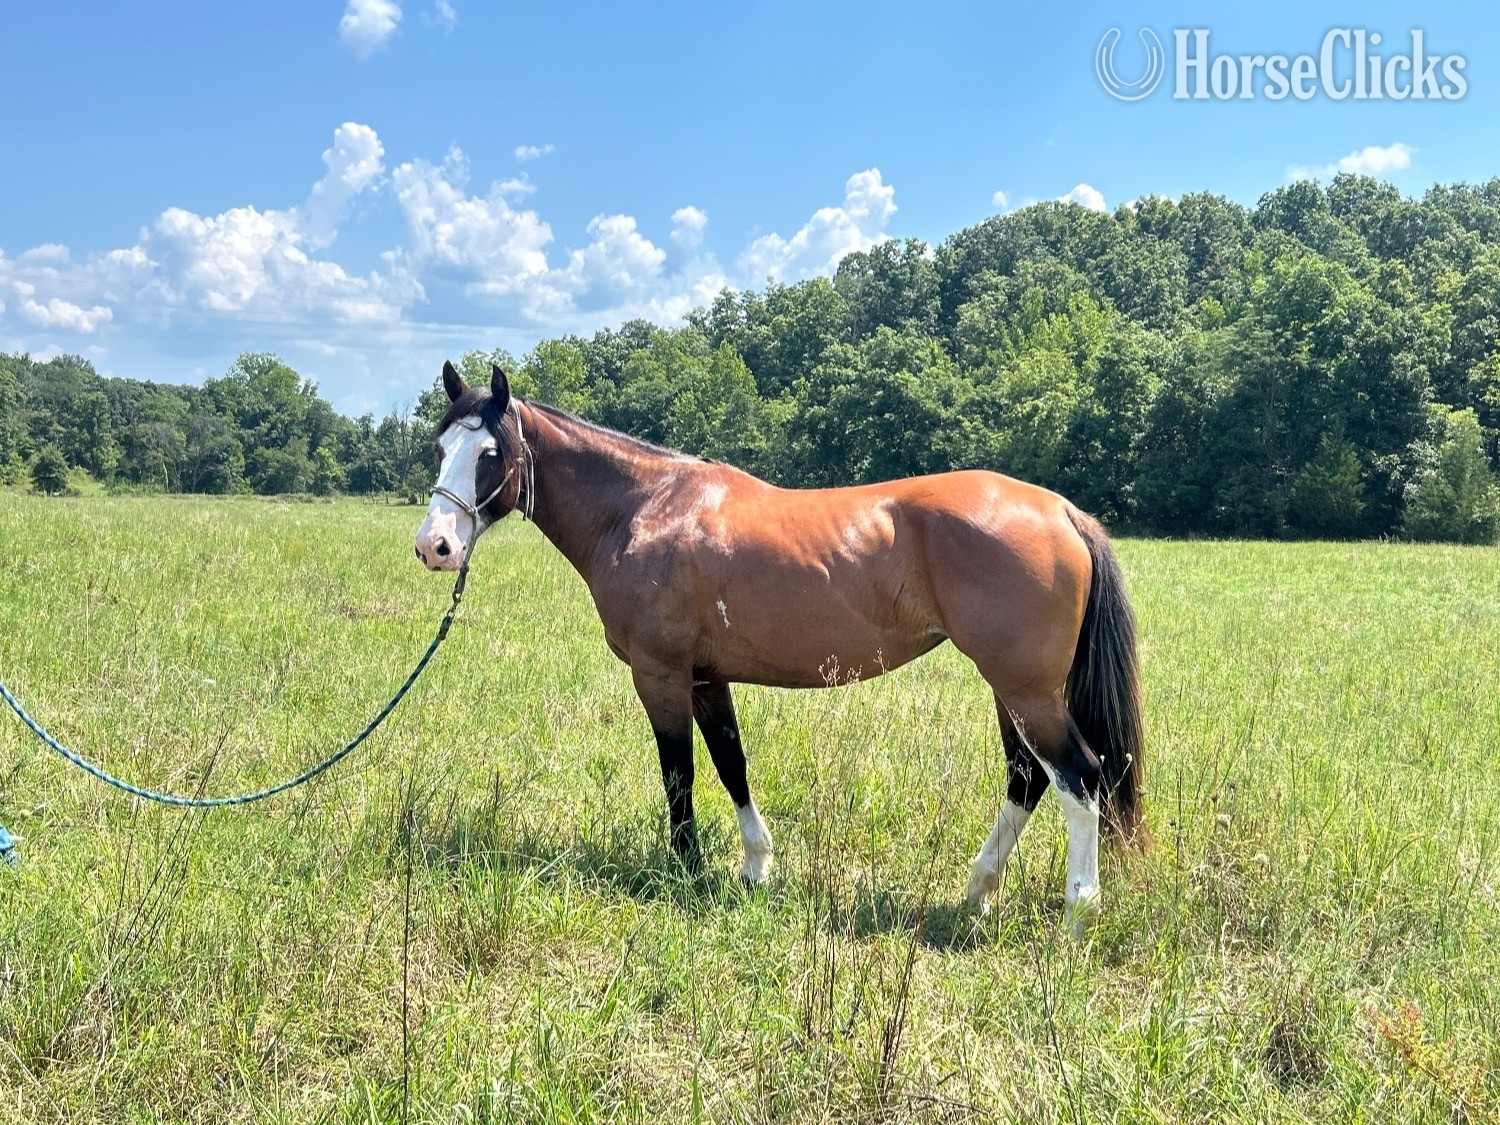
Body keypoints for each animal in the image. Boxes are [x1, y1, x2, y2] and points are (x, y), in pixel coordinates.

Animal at [415, 362, 1147, 932]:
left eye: (491, 454)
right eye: (438, 447)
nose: (435, 546)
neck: (646, 508)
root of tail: (1060, 510)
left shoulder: (661, 675)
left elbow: (679, 773)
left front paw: (687, 869)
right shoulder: (706, 678)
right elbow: (730, 764)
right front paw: (754, 865)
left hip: (1026, 690)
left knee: (1079, 777)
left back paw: (1078, 910)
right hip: (1013, 690)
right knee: (1028, 777)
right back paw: (978, 890)